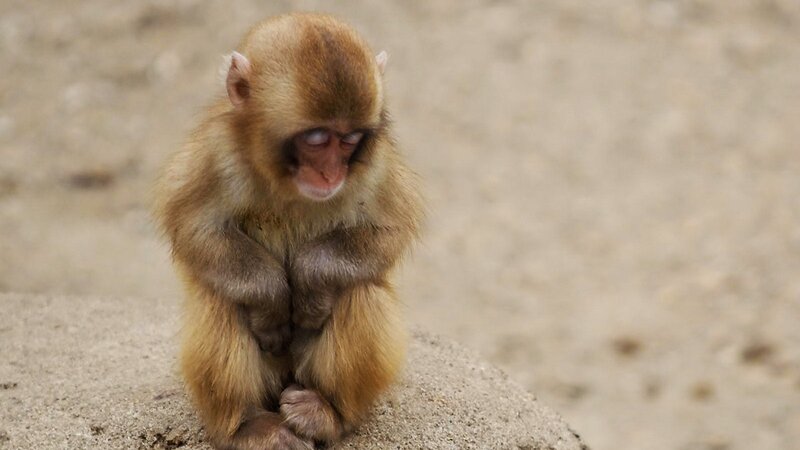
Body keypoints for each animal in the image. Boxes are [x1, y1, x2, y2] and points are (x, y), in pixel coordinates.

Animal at [153, 13, 423, 450]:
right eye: (316, 138)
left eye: (349, 139)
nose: (331, 174)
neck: (285, 182)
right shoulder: (215, 151)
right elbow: (194, 225)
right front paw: (271, 300)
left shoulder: (376, 163)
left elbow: (389, 228)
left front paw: (310, 281)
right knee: (219, 298)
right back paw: (246, 425)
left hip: (302, 368)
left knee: (360, 291)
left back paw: (328, 414)